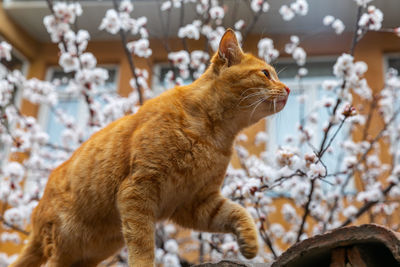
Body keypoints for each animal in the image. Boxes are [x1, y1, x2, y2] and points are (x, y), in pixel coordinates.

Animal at [10, 29, 290, 267]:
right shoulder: (138, 189)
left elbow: (238, 212)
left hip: (89, 254)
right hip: (63, 243)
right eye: (266, 74)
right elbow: (142, 243)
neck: (216, 134)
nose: (288, 88)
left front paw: (250, 242)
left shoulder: (197, 203)